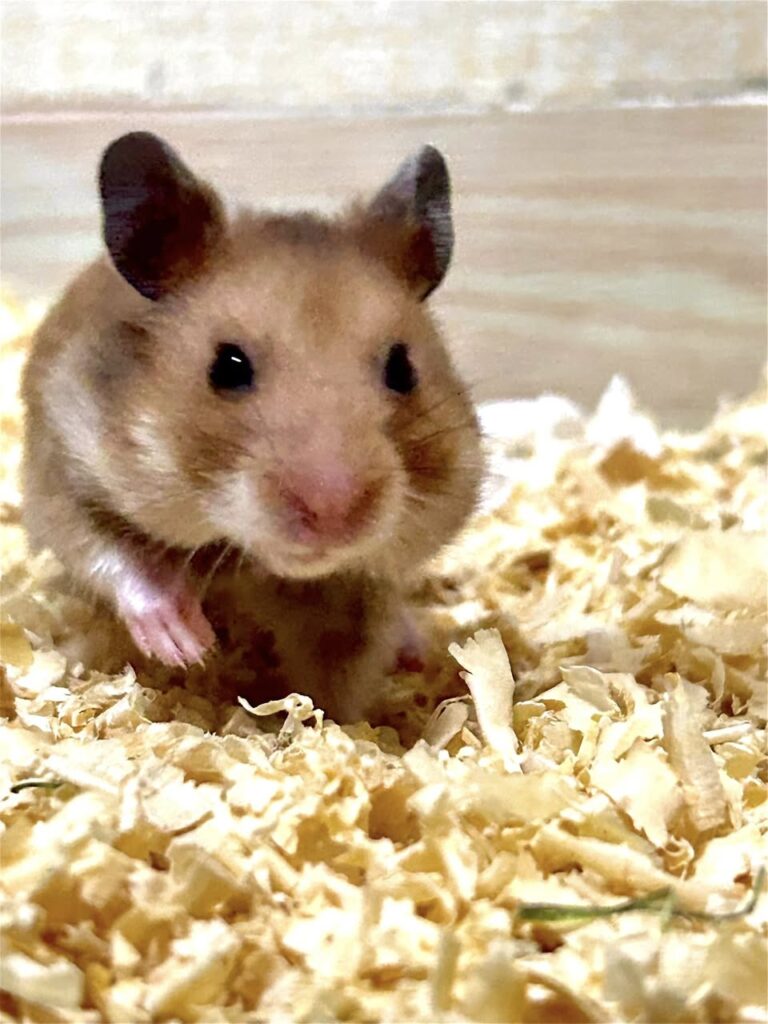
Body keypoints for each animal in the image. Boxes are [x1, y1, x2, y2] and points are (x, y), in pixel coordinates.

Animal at [21, 132, 483, 722]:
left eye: (403, 369)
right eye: (228, 367)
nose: (334, 514)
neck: (252, 561)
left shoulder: (354, 594)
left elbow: (340, 675)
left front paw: (333, 728)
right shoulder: (65, 470)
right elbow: (121, 560)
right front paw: (187, 646)